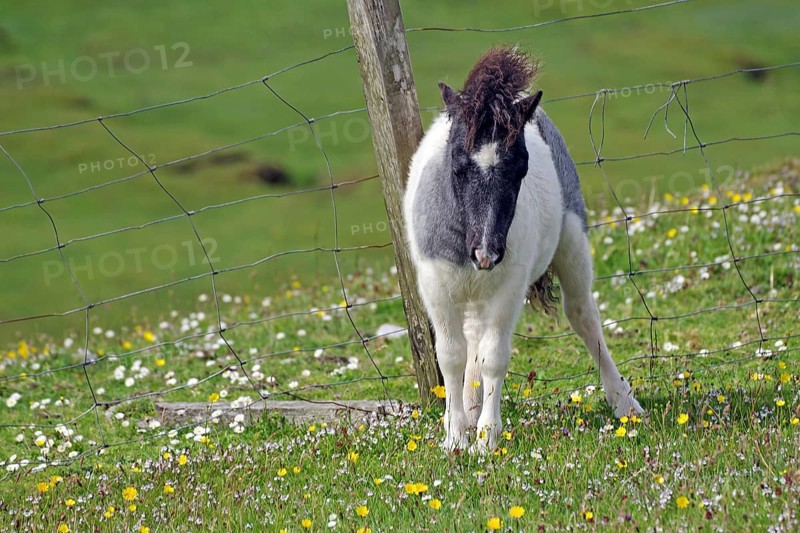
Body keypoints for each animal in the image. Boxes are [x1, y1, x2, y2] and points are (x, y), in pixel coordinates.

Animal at [403, 47, 643, 453]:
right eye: (457, 166)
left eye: (521, 168)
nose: (487, 254)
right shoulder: (435, 285)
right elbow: (451, 356)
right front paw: (454, 436)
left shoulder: (509, 286)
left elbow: (494, 358)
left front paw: (486, 438)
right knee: (473, 337)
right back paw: (469, 408)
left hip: (571, 240)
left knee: (583, 315)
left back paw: (623, 402)